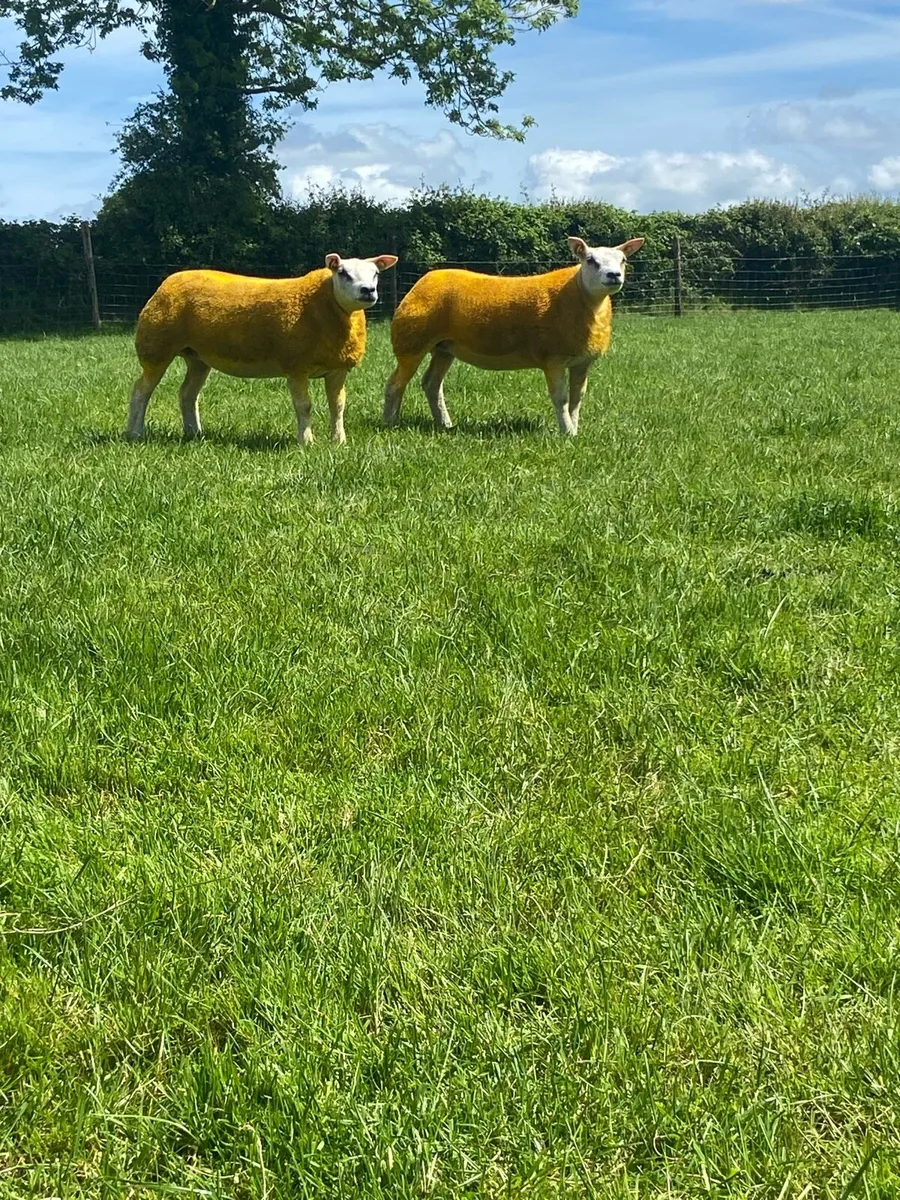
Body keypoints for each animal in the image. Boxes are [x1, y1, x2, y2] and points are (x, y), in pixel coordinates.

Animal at [126, 253, 398, 445]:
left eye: (375, 273)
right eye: (342, 272)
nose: (368, 291)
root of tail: (169, 281)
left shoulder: (337, 368)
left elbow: (338, 405)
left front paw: (339, 441)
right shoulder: (296, 365)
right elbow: (304, 406)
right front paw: (306, 442)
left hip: (198, 357)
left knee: (187, 394)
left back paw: (194, 434)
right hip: (157, 347)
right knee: (140, 391)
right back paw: (135, 433)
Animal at [383, 237, 644, 436]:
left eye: (623, 260)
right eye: (590, 260)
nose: (614, 275)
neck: (580, 295)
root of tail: (422, 281)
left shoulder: (582, 362)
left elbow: (577, 399)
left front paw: (575, 429)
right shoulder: (554, 358)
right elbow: (561, 398)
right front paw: (567, 433)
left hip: (444, 347)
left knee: (431, 384)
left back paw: (445, 424)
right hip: (411, 342)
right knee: (395, 384)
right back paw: (390, 423)